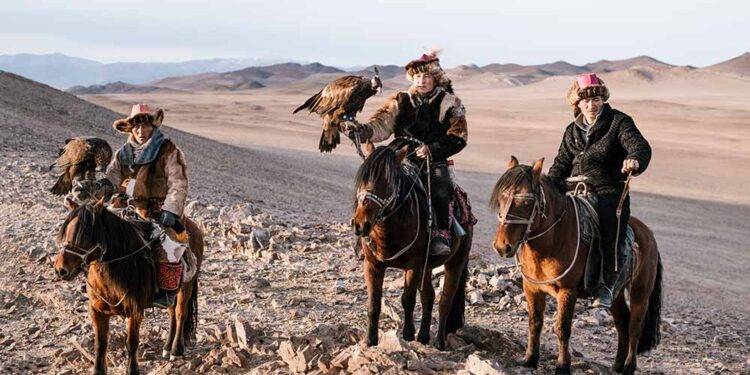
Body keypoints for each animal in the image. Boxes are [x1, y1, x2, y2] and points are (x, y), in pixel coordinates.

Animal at [52, 201, 206, 375]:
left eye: (85, 234)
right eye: (66, 231)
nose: (60, 270)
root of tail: (194, 227)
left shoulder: (134, 311)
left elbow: (132, 342)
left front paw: (132, 370)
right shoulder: (97, 311)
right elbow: (101, 343)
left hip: (186, 286)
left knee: (180, 314)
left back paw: (176, 350)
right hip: (172, 293)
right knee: (172, 313)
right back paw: (167, 347)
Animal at [352, 145, 470, 352]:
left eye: (387, 182)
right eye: (362, 179)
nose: (361, 224)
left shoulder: (413, 265)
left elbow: (407, 299)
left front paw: (407, 335)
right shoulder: (373, 265)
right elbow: (374, 303)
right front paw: (370, 340)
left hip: (456, 262)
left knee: (445, 301)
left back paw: (439, 342)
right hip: (428, 266)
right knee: (429, 297)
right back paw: (423, 337)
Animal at [494, 157, 664, 374]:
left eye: (525, 203)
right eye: (500, 199)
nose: (502, 246)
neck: (552, 241)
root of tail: (649, 236)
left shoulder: (567, 291)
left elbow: (562, 328)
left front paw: (562, 366)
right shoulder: (531, 288)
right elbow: (535, 323)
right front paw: (530, 359)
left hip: (640, 292)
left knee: (635, 326)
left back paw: (628, 366)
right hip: (615, 294)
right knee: (622, 323)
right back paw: (617, 364)